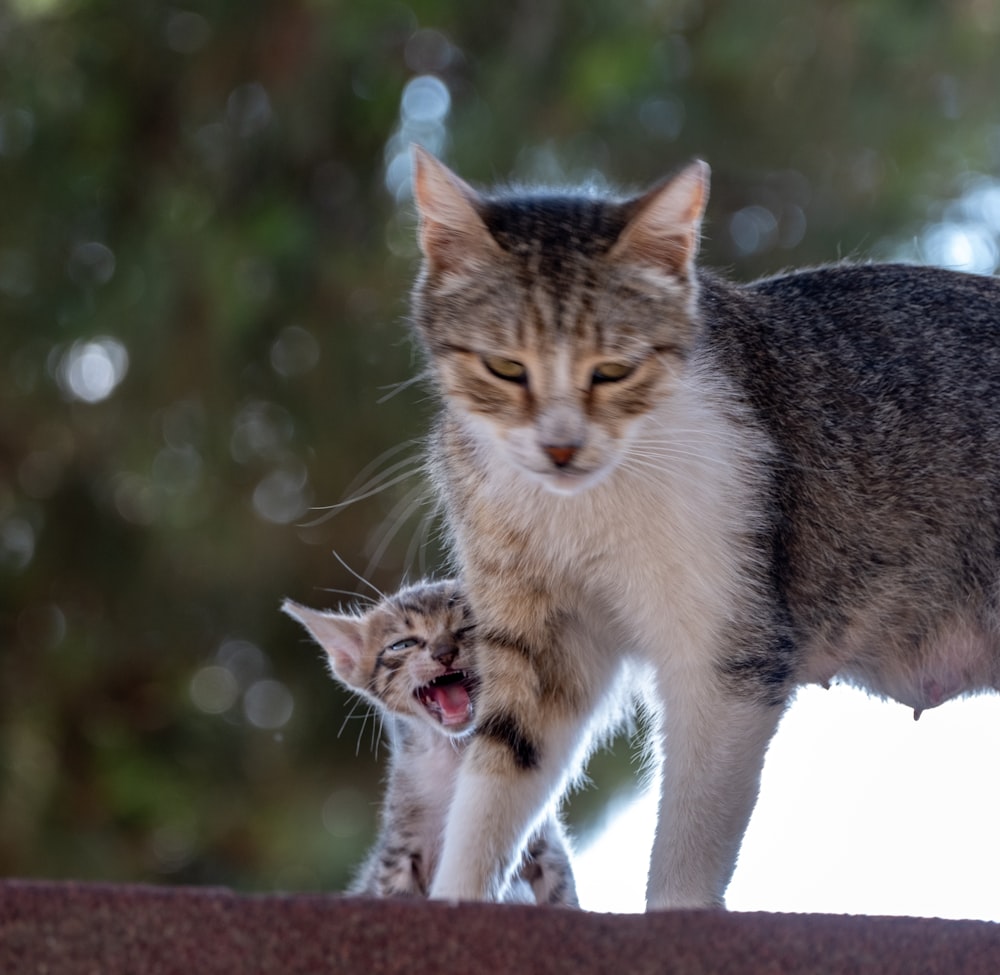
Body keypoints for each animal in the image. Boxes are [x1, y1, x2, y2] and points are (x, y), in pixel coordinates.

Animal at [282, 580, 580, 908]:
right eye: (402, 644)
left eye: (468, 626)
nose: (444, 652)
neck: (451, 755)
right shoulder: (398, 852)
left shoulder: (547, 847)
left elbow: (562, 898)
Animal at [406, 149, 1000, 912]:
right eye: (506, 367)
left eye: (613, 370)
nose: (561, 448)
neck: (580, 507)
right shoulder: (541, 643)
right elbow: (497, 776)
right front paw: (455, 901)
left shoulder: (724, 655)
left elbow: (687, 843)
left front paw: (675, 914)